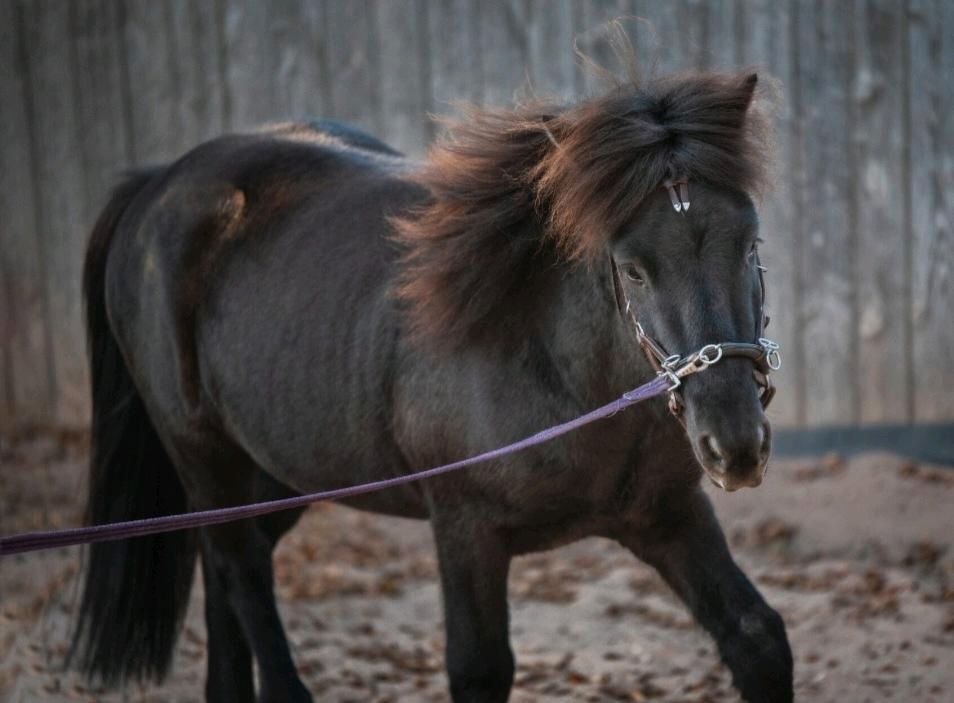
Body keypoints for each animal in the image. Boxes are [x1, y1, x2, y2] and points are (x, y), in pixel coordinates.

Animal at [70, 66, 792, 703]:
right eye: (634, 268)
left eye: (751, 243)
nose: (734, 445)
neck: (558, 365)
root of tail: (156, 185)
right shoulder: (464, 528)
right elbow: (479, 670)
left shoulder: (664, 513)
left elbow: (757, 637)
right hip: (203, 452)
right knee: (240, 571)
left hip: (278, 471)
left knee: (226, 574)